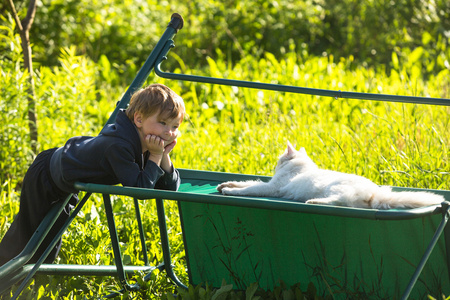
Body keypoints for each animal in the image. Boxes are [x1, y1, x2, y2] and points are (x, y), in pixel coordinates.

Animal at [216, 142, 444, 209]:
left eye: (279, 159)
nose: (274, 167)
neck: (301, 166)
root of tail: (375, 194)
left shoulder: (272, 187)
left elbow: (250, 188)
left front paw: (229, 191)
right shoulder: (269, 184)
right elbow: (245, 181)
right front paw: (225, 184)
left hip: (335, 189)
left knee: (339, 201)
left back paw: (313, 201)